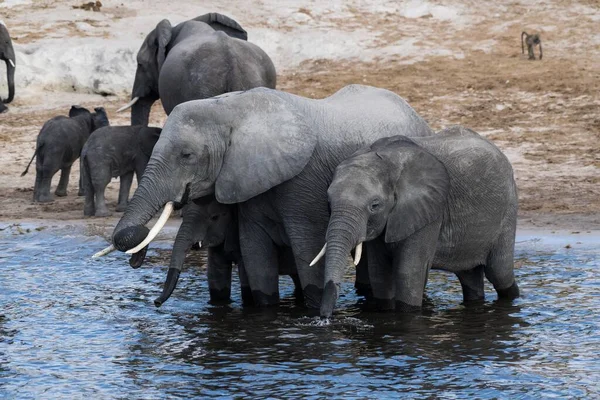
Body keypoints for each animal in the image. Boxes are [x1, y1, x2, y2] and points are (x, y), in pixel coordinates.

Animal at [103, 86, 432, 308]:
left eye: (187, 155)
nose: (156, 304)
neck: (232, 107)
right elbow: (255, 252)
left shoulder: (304, 182)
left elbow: (308, 251)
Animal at [314, 126, 520, 318]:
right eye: (328, 202)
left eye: (374, 205)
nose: (324, 318)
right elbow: (379, 273)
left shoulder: (430, 211)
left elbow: (408, 272)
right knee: (469, 275)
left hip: (508, 211)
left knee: (500, 273)